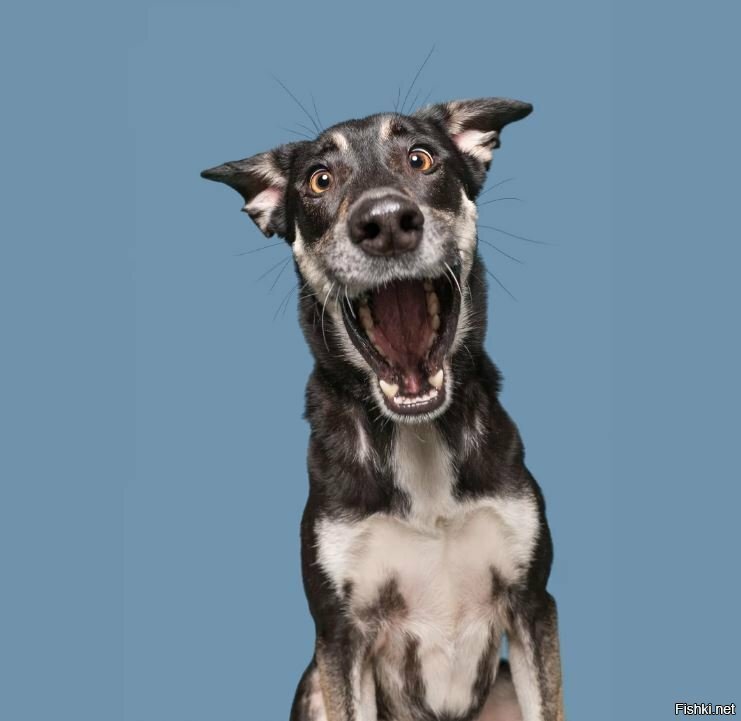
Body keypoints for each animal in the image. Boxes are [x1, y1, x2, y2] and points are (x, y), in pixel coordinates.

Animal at [202, 96, 564, 721]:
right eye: (319, 179)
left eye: (421, 158)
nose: (387, 221)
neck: (417, 440)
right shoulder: (340, 636)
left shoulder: (533, 605)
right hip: (314, 685)